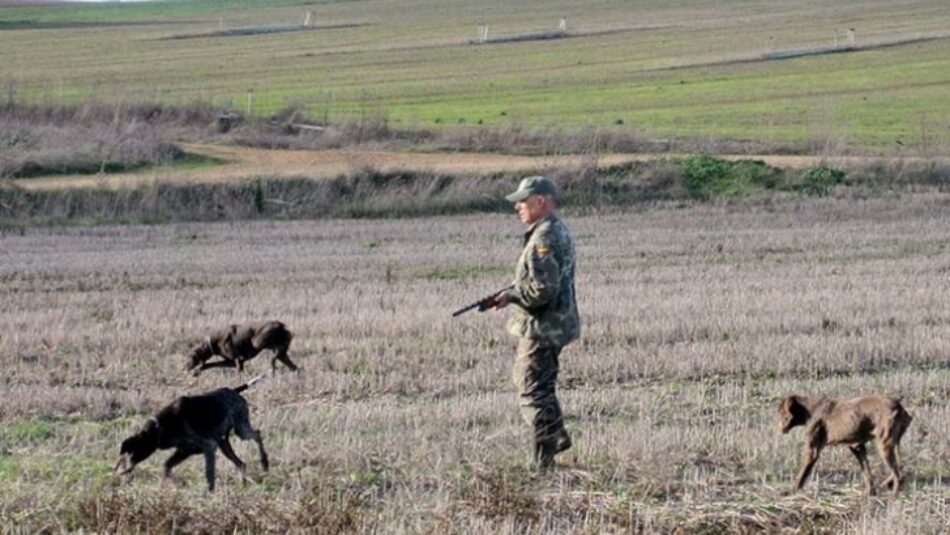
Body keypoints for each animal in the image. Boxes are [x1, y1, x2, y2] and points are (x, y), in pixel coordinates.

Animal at [116, 374, 272, 492]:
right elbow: (166, 467)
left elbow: (209, 476)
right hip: (224, 443)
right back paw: (243, 484)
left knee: (257, 434)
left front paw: (208, 493)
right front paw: (178, 483)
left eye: (129, 452)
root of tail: (235, 390)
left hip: (241, 430)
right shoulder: (184, 451)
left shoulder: (208, 447)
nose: (117, 471)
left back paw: (264, 462)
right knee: (241, 464)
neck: (159, 428)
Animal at [780, 394, 916, 498]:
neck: (810, 409)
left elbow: (802, 474)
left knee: (898, 475)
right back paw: (886, 484)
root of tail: (898, 405)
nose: (780, 428)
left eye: (781, 413)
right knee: (900, 469)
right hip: (894, 443)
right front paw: (870, 493)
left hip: (884, 445)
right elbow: (866, 472)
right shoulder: (857, 447)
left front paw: (792, 490)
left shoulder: (812, 451)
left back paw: (892, 498)